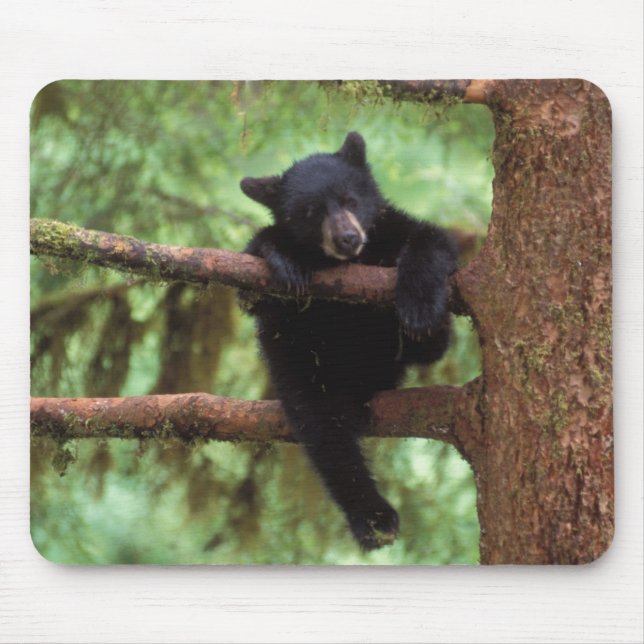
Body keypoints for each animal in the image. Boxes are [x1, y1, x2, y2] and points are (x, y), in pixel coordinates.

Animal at [240, 132, 456, 550]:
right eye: (310, 212)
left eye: (350, 200)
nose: (347, 238)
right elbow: (252, 288)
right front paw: (284, 258)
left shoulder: (392, 229)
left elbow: (432, 239)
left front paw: (419, 306)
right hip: (302, 374)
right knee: (327, 436)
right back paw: (373, 517)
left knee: (434, 346)